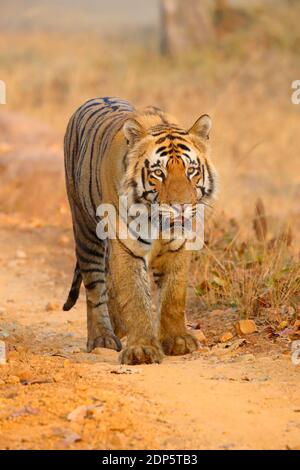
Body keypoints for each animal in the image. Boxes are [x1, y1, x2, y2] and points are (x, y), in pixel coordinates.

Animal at [63, 97, 218, 366]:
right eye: (158, 172)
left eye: (191, 170)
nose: (181, 206)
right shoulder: (127, 245)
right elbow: (136, 297)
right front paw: (142, 350)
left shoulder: (178, 245)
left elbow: (173, 296)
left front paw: (178, 341)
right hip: (85, 230)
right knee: (95, 288)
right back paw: (102, 338)